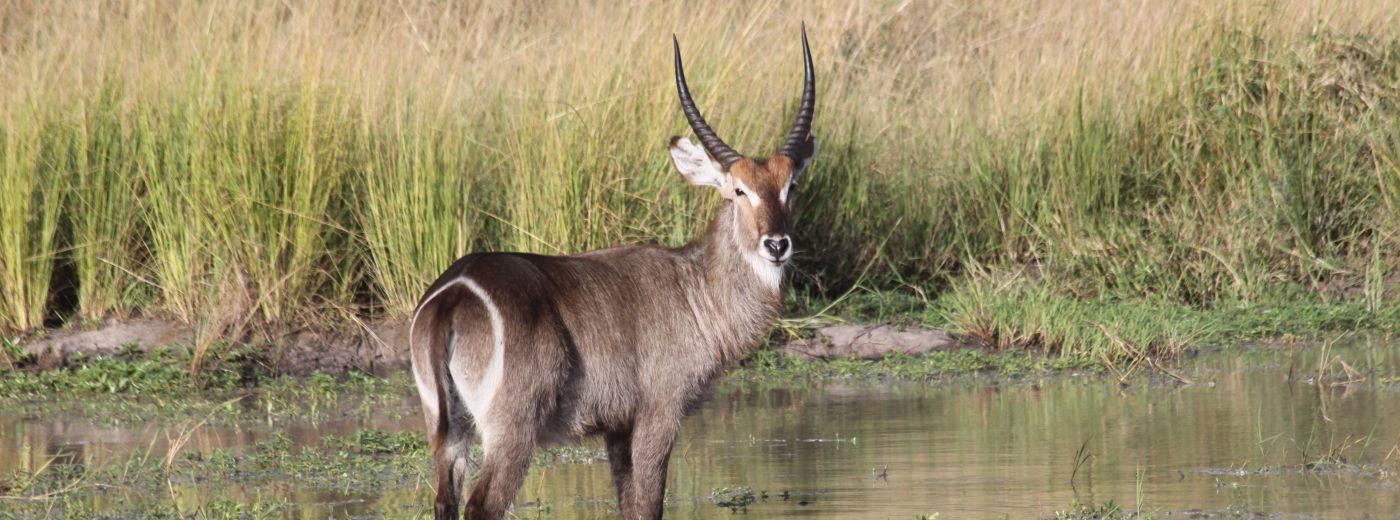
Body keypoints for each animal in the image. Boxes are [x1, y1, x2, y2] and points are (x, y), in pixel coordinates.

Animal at [408, 27, 817, 520]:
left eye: (790, 185)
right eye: (739, 190)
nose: (777, 244)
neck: (695, 289)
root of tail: (454, 292)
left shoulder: (617, 427)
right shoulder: (659, 413)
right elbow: (648, 504)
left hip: (447, 428)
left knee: (444, 500)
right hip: (512, 429)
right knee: (482, 505)